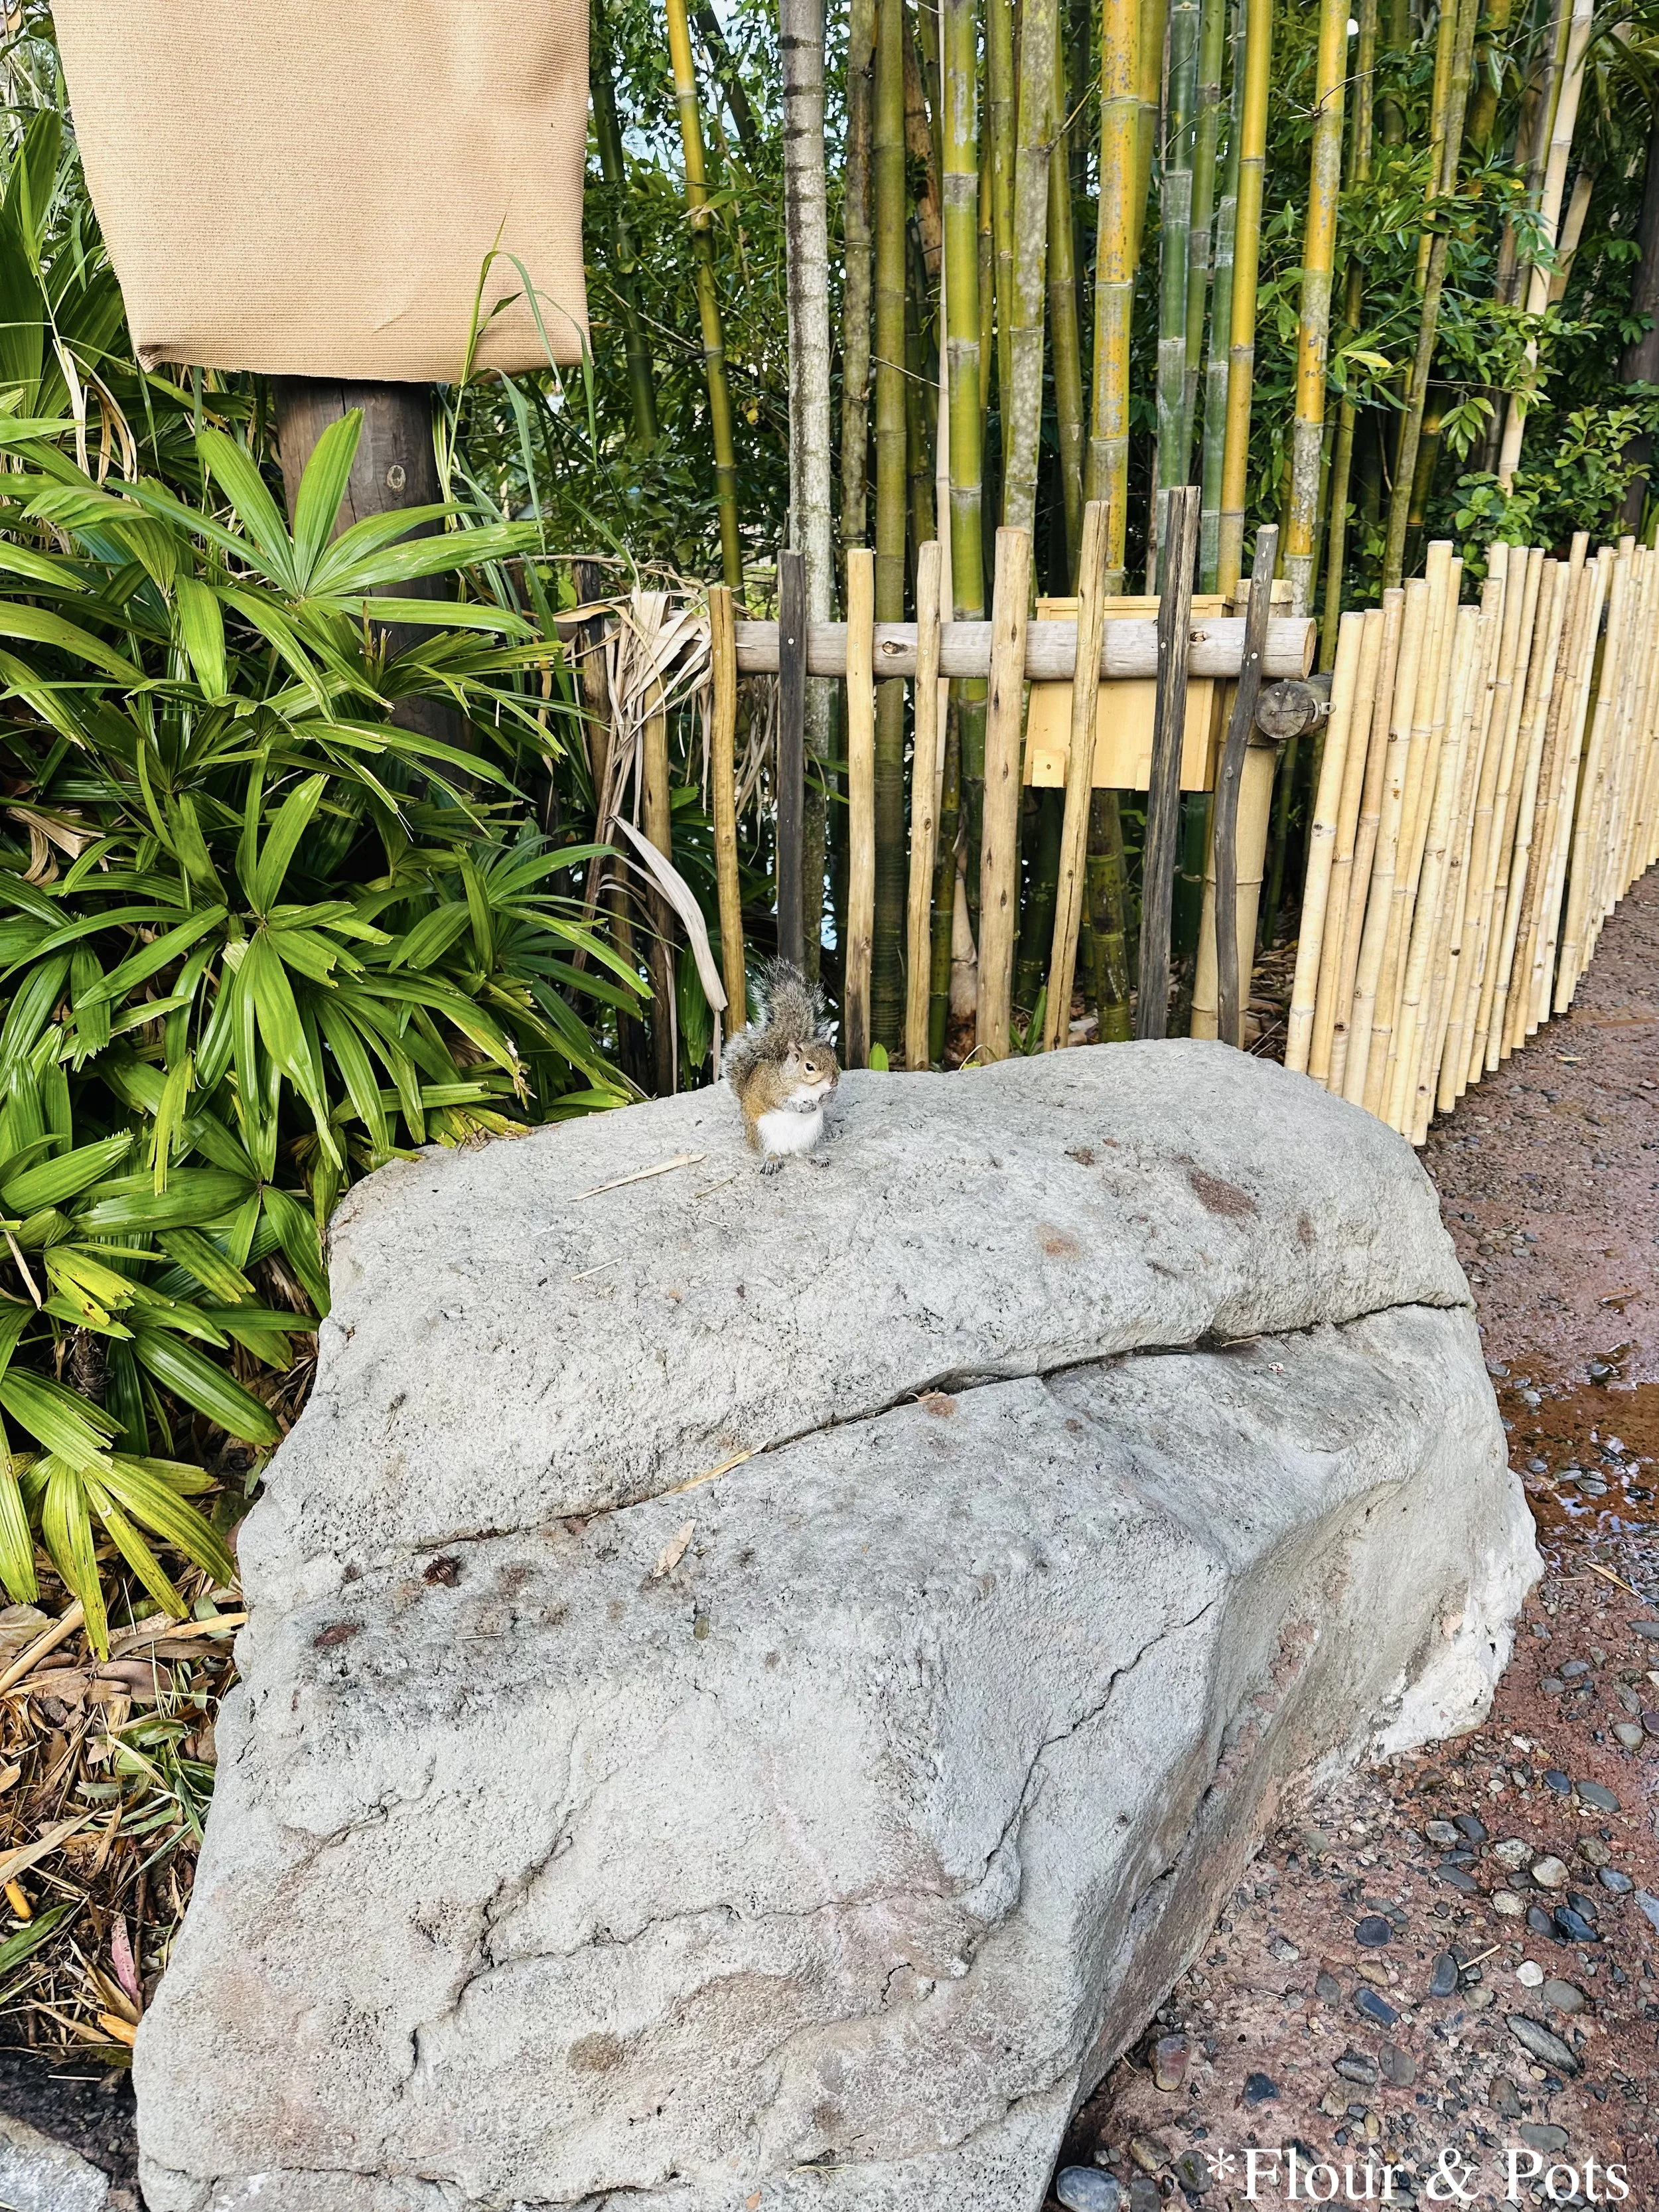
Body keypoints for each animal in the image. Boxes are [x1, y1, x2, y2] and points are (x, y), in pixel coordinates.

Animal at [724, 959, 840, 1172]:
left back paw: (814, 1156)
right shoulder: (772, 1089)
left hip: (810, 1133)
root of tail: (786, 1149)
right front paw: (803, 1107)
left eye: (835, 1058)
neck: (807, 1086)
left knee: (801, 1151)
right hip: (762, 1132)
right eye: (809, 1067)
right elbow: (782, 1102)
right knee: (769, 1150)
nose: (833, 1082)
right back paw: (772, 1160)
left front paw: (828, 1097)